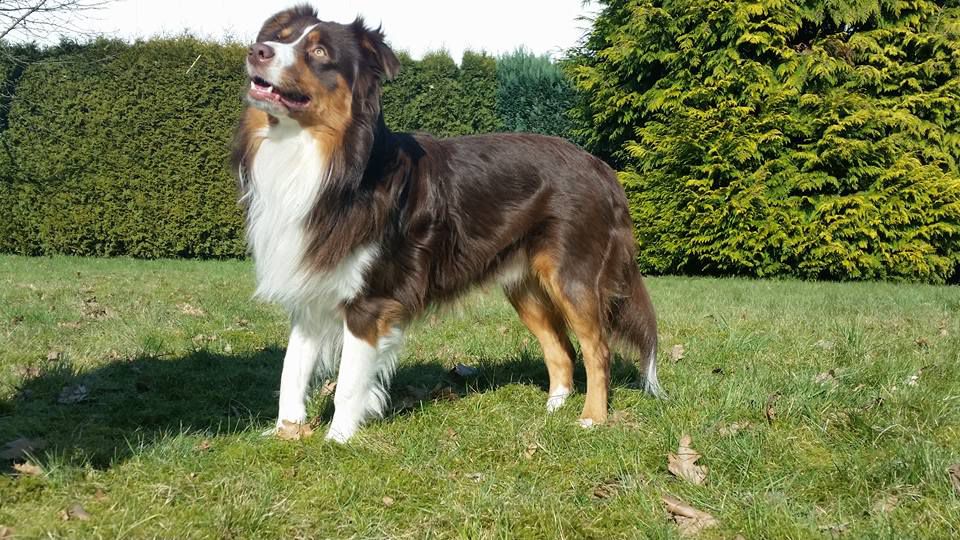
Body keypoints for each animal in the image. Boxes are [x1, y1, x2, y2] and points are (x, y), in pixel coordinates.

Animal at [231, 4, 660, 442]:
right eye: (280, 37)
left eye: (319, 52)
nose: (257, 51)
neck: (330, 160)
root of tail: (600, 167)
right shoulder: (309, 289)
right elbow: (291, 370)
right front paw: (286, 434)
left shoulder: (371, 301)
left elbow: (349, 382)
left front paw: (338, 440)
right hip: (524, 285)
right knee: (562, 348)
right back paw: (553, 409)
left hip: (573, 276)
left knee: (597, 348)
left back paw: (592, 417)